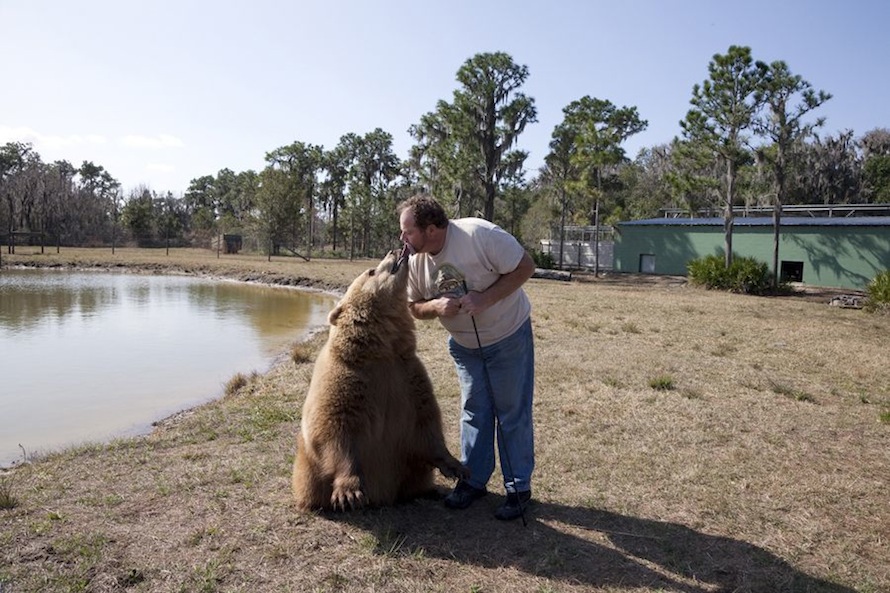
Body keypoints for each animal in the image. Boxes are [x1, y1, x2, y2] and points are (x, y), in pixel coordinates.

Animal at [292, 248, 468, 511]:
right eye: (371, 271)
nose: (395, 251)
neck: (381, 349)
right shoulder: (345, 377)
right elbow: (333, 427)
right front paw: (349, 492)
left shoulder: (408, 375)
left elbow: (427, 422)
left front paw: (457, 466)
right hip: (307, 479)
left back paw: (429, 492)